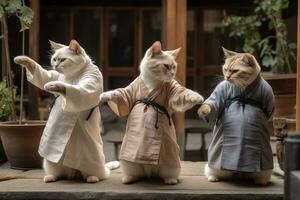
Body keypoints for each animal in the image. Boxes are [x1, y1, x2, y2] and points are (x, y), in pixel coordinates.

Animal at [14, 39, 119, 184]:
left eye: (63, 60)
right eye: (54, 59)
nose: (56, 65)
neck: (72, 75)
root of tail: (73, 173)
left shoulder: (89, 83)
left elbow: (70, 88)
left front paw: (54, 85)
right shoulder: (53, 75)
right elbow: (42, 74)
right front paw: (21, 59)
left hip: (93, 164)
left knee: (97, 174)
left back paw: (92, 178)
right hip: (50, 163)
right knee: (58, 174)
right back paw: (50, 177)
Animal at [99, 41, 203, 184]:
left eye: (174, 67)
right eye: (166, 66)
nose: (172, 73)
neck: (153, 80)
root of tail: (150, 173)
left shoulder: (175, 91)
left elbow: (184, 94)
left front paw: (196, 97)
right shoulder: (128, 93)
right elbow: (118, 94)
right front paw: (105, 95)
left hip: (171, 165)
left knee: (168, 173)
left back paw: (170, 180)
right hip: (129, 163)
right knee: (136, 174)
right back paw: (128, 178)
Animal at [198, 47, 276, 185]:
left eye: (235, 71)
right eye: (225, 69)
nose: (227, 77)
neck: (243, 89)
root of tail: (239, 173)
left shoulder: (269, 97)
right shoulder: (220, 92)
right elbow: (212, 105)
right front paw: (204, 110)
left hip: (265, 170)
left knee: (262, 175)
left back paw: (261, 181)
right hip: (213, 166)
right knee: (211, 170)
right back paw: (213, 177)